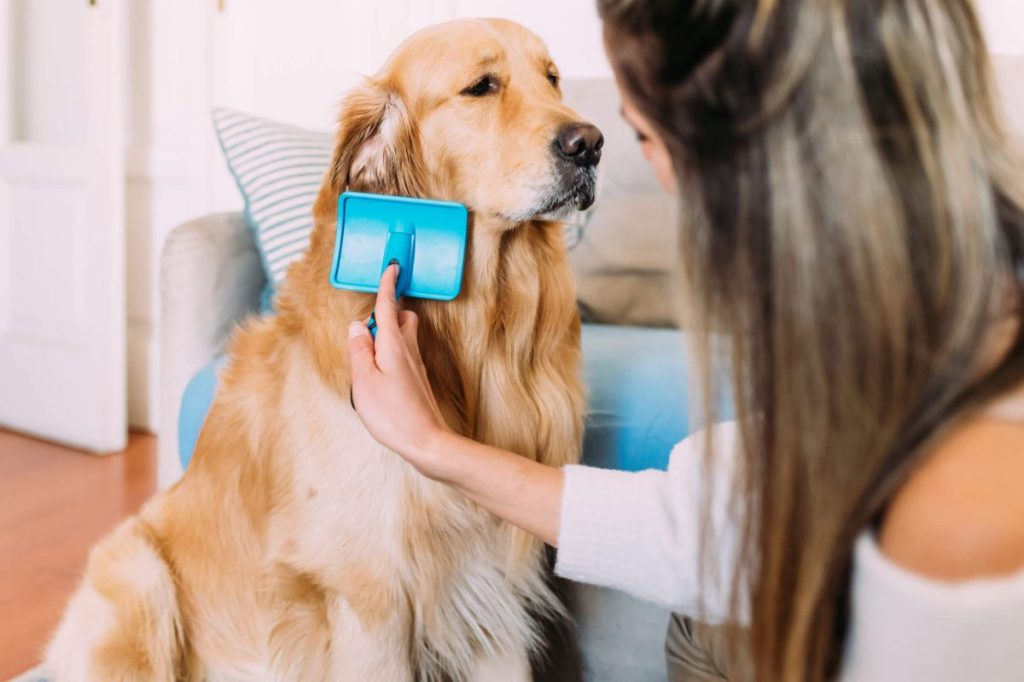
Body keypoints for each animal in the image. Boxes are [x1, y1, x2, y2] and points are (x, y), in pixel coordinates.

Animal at [44, 15, 598, 679]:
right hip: (140, 578)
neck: (475, 334)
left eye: (553, 78)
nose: (591, 143)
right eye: (482, 86)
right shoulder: (367, 597)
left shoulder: (490, 601)